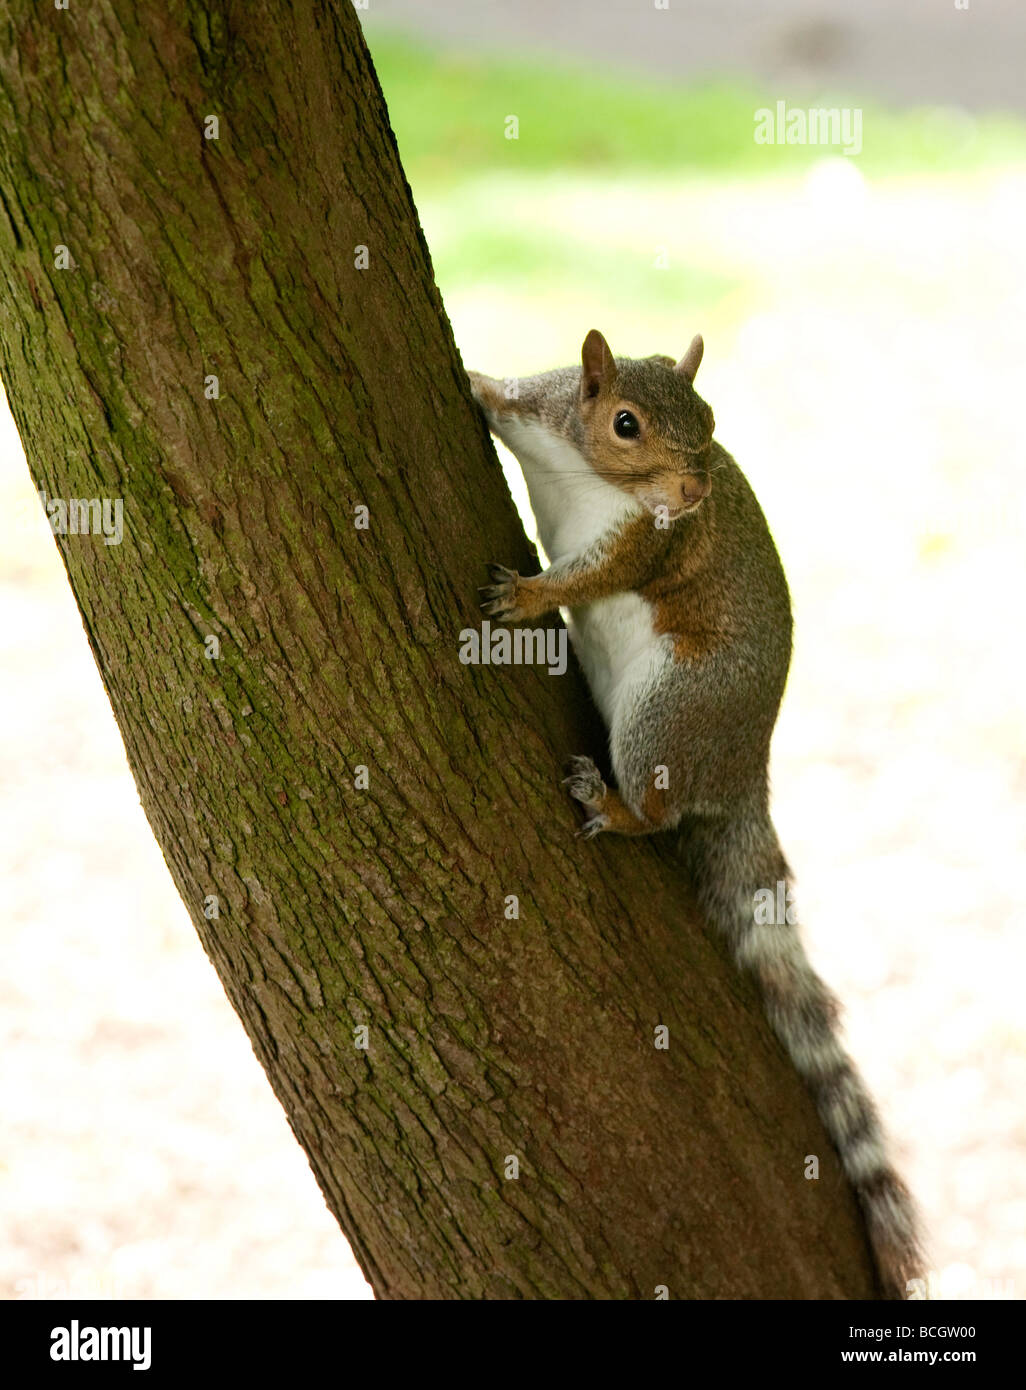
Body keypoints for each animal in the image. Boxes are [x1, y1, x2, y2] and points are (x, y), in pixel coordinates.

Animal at [467, 330, 923, 1295]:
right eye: (626, 422)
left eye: (710, 419)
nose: (694, 494)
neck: (583, 470)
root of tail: (745, 770)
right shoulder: (544, 411)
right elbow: (507, 394)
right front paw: (479, 378)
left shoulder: (643, 544)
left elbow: (595, 572)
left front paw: (527, 597)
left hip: (666, 713)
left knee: (660, 807)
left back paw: (613, 805)